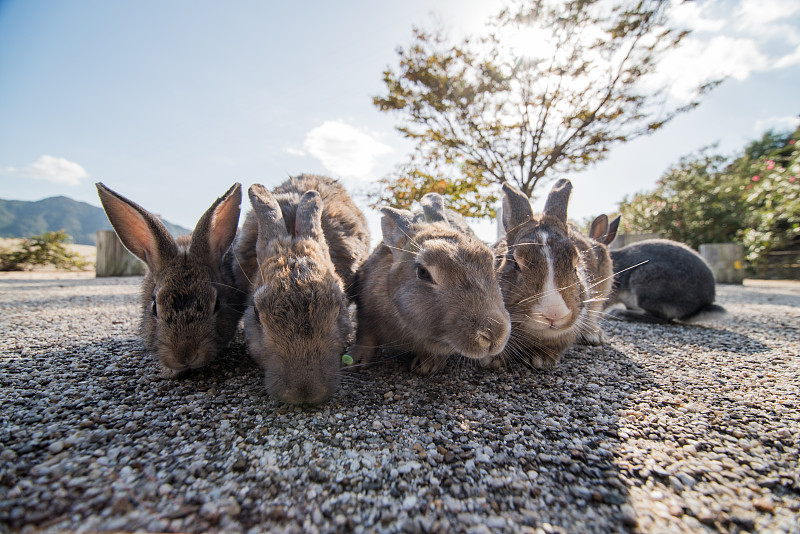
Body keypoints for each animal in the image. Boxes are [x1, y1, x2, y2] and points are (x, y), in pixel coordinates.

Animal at [352, 194, 512, 376]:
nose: (495, 335)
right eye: (423, 272)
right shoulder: (365, 310)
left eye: (491, 262)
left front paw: (427, 364)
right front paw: (358, 360)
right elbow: (365, 334)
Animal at [488, 182, 612, 370]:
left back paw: (594, 335)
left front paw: (541, 358)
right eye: (515, 263)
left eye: (576, 264)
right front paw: (493, 359)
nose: (555, 315)